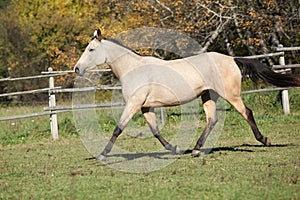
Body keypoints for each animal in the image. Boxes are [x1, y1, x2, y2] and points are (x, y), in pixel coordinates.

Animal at [74, 29, 300, 161]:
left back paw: (264, 140)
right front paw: (174, 148)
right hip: (208, 95)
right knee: (212, 119)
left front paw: (102, 155)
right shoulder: (146, 107)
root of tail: (232, 59)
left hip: (231, 95)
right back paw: (196, 150)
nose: (77, 69)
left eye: (91, 49)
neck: (134, 69)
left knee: (247, 113)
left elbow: (118, 129)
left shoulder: (134, 105)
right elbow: (155, 131)